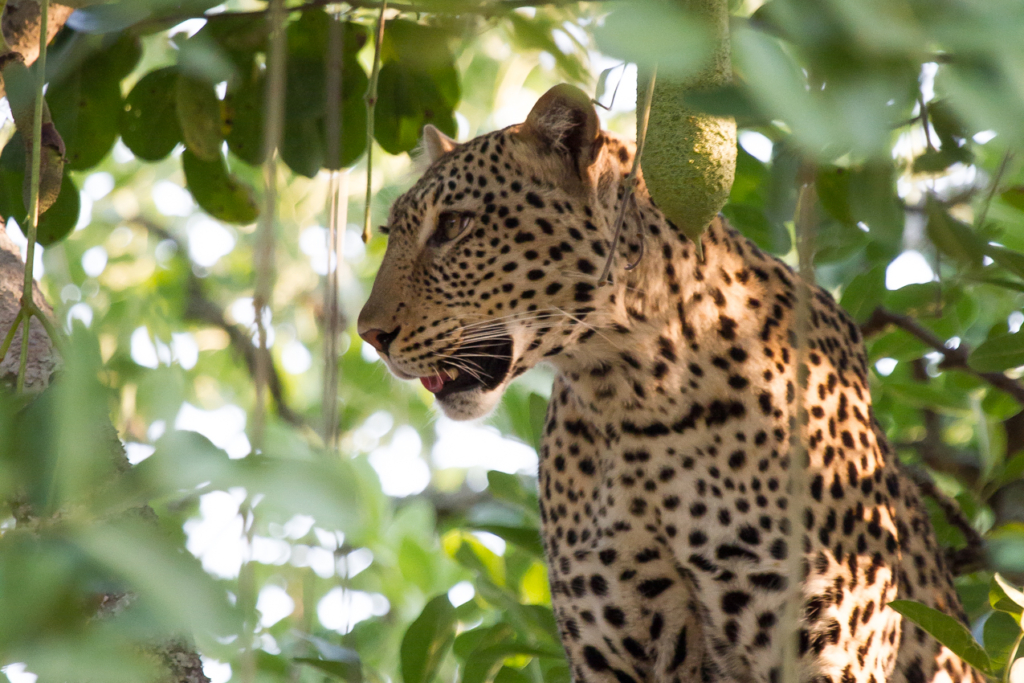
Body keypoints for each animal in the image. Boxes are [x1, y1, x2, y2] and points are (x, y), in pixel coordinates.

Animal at [356, 83, 978, 683]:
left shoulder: (824, 648)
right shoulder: (610, 653)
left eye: (453, 225)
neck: (635, 392)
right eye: (390, 233)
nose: (370, 335)